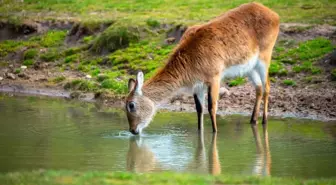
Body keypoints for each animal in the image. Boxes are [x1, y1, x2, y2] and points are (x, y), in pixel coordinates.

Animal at [124, 2, 280, 134]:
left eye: (131, 105)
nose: (132, 130)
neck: (191, 56)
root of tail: (273, 14)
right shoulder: (197, 85)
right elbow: (199, 109)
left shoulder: (215, 78)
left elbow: (212, 107)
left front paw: (215, 132)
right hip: (250, 68)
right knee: (258, 88)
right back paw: (253, 120)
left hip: (264, 58)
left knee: (267, 86)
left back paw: (264, 120)